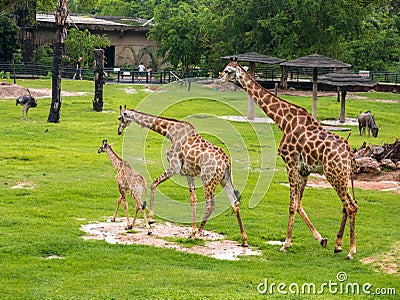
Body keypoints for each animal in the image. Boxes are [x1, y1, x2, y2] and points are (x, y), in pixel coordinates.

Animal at [116, 105, 247, 246]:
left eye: (120, 117)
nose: (119, 131)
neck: (170, 132)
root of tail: (226, 162)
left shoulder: (174, 167)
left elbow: (153, 184)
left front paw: (151, 219)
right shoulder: (189, 173)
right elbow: (193, 199)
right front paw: (192, 231)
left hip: (208, 179)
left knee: (210, 204)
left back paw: (199, 235)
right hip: (224, 179)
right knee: (235, 203)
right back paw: (244, 239)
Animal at [219, 59, 360, 260]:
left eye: (227, 71)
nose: (218, 78)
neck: (283, 121)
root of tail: (350, 154)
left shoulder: (290, 164)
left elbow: (292, 205)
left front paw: (285, 245)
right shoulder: (304, 169)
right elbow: (299, 204)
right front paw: (322, 240)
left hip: (334, 174)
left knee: (351, 205)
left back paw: (351, 251)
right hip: (342, 175)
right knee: (346, 205)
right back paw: (338, 245)